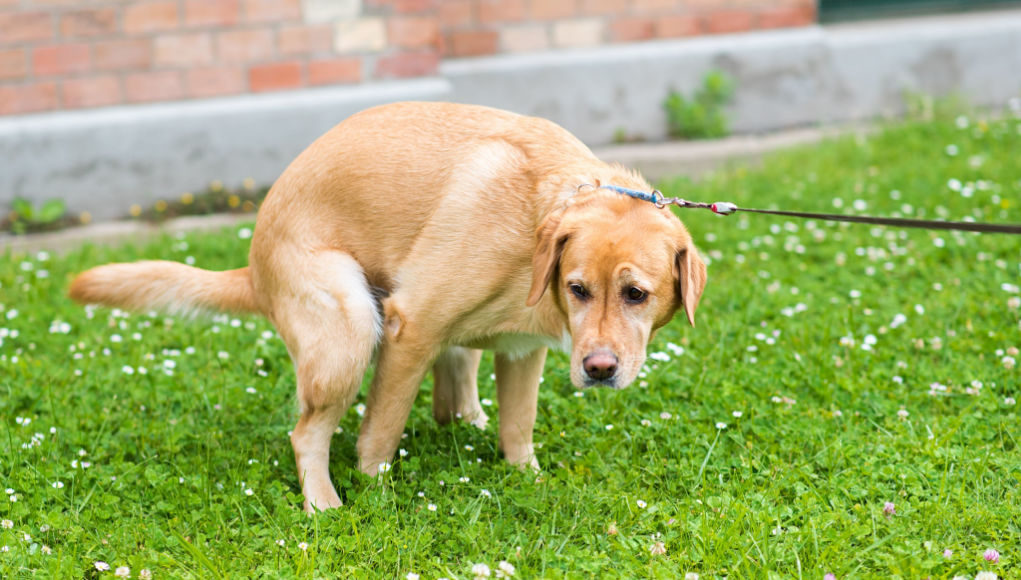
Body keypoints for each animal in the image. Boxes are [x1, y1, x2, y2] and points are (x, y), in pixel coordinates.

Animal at [67, 103, 706, 512]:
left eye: (636, 294)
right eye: (578, 289)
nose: (598, 370)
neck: (537, 221)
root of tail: (254, 266)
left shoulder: (523, 353)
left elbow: (518, 427)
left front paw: (527, 477)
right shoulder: (410, 328)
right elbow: (380, 432)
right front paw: (375, 490)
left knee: (453, 397)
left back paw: (466, 423)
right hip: (349, 328)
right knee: (307, 434)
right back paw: (323, 503)